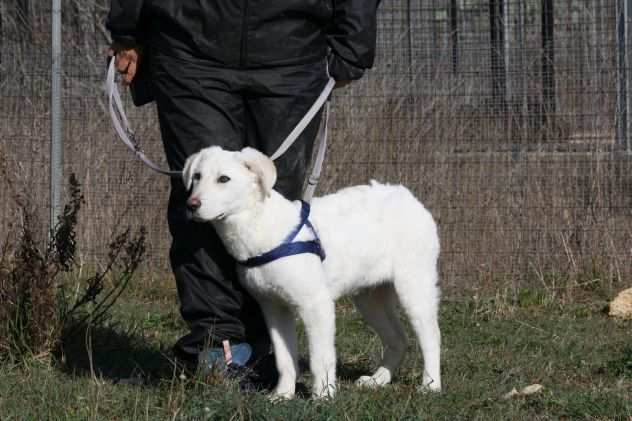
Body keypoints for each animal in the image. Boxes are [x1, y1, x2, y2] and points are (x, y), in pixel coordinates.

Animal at [181, 147, 440, 398]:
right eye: (197, 177)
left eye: (224, 179)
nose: (191, 205)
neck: (260, 227)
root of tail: (406, 195)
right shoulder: (274, 309)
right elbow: (285, 360)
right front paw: (283, 395)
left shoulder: (316, 305)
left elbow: (320, 359)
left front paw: (323, 396)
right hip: (370, 298)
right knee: (398, 340)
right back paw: (379, 380)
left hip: (414, 289)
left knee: (431, 339)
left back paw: (431, 386)